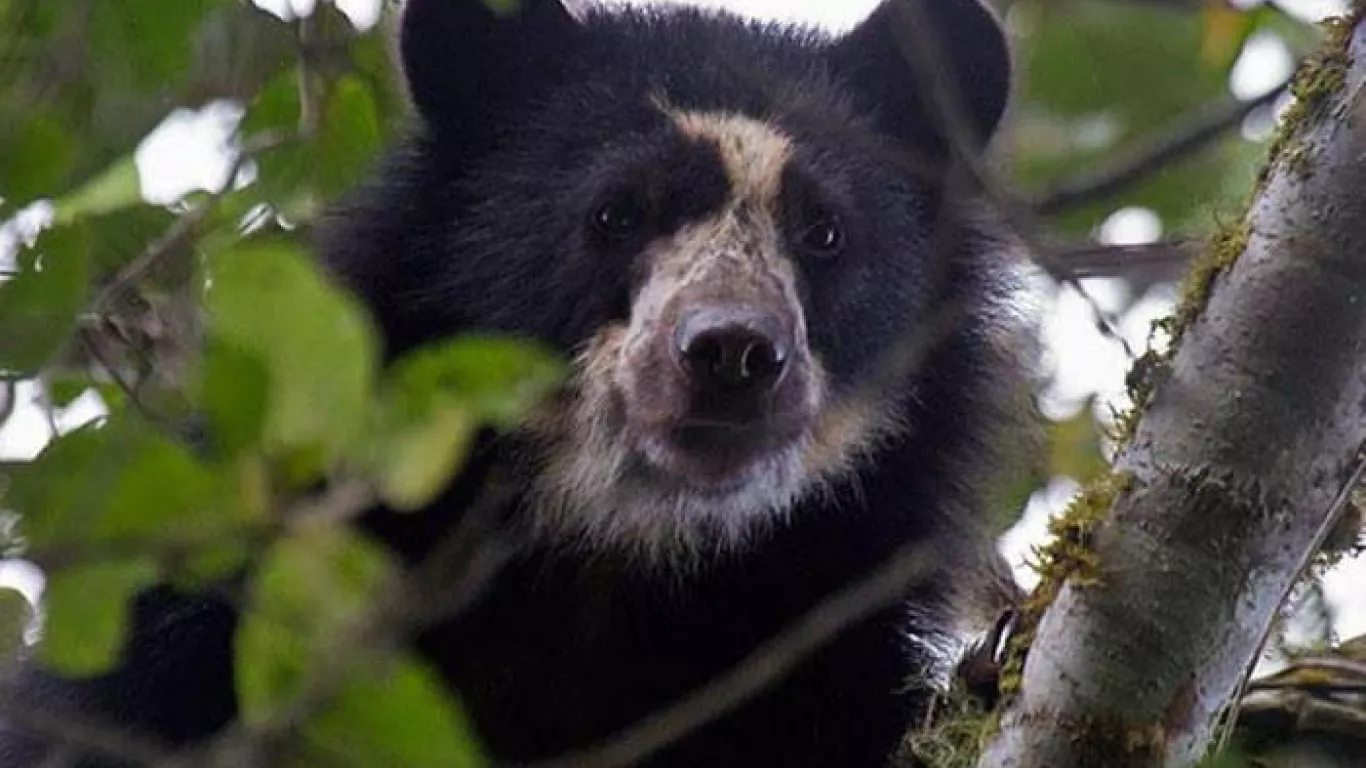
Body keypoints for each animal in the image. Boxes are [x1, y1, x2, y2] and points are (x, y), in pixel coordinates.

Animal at [0, 0, 1027, 766]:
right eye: (614, 213)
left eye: (825, 233)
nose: (732, 353)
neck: (613, 565)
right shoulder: (204, 634)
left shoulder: (816, 665)